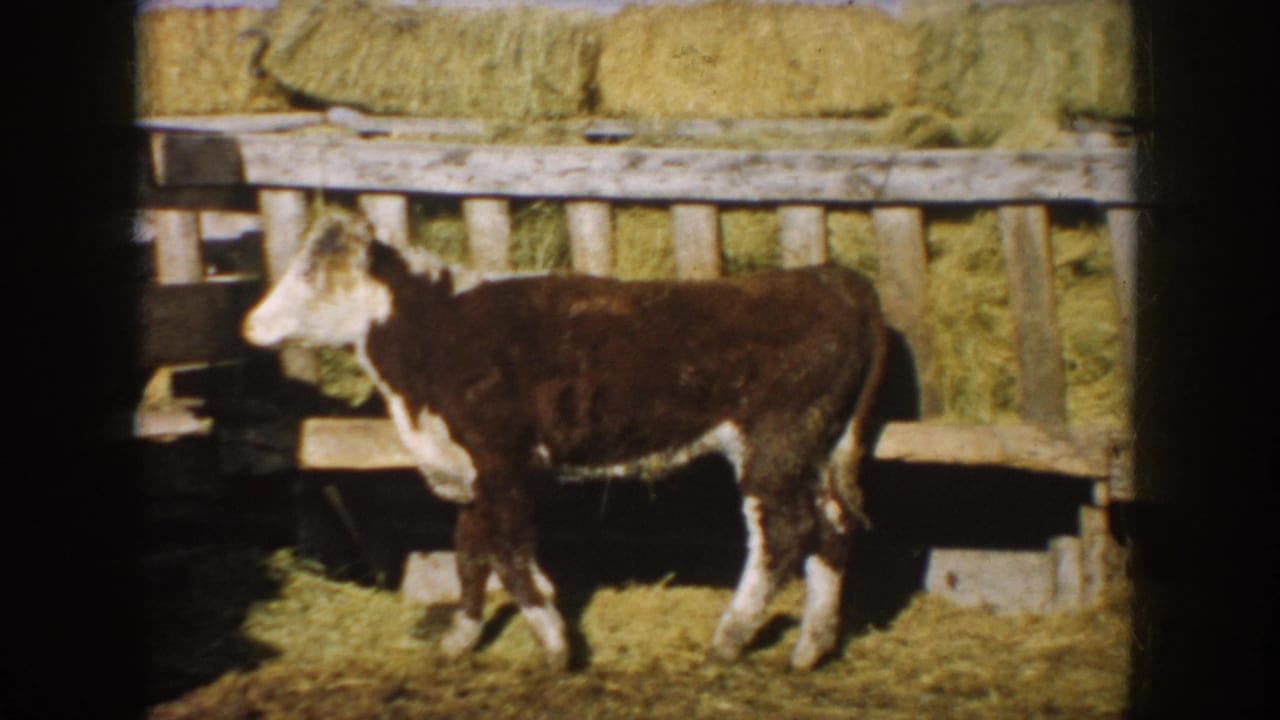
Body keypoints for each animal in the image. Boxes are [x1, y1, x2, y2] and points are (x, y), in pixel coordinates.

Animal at [242, 207, 887, 671]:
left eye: (309, 272)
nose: (251, 324)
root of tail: (832, 278)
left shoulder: (500, 460)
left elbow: (508, 552)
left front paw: (554, 645)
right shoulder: (469, 470)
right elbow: (470, 553)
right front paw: (460, 640)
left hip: (775, 444)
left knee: (784, 534)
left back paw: (729, 639)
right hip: (816, 450)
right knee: (832, 530)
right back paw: (810, 649)